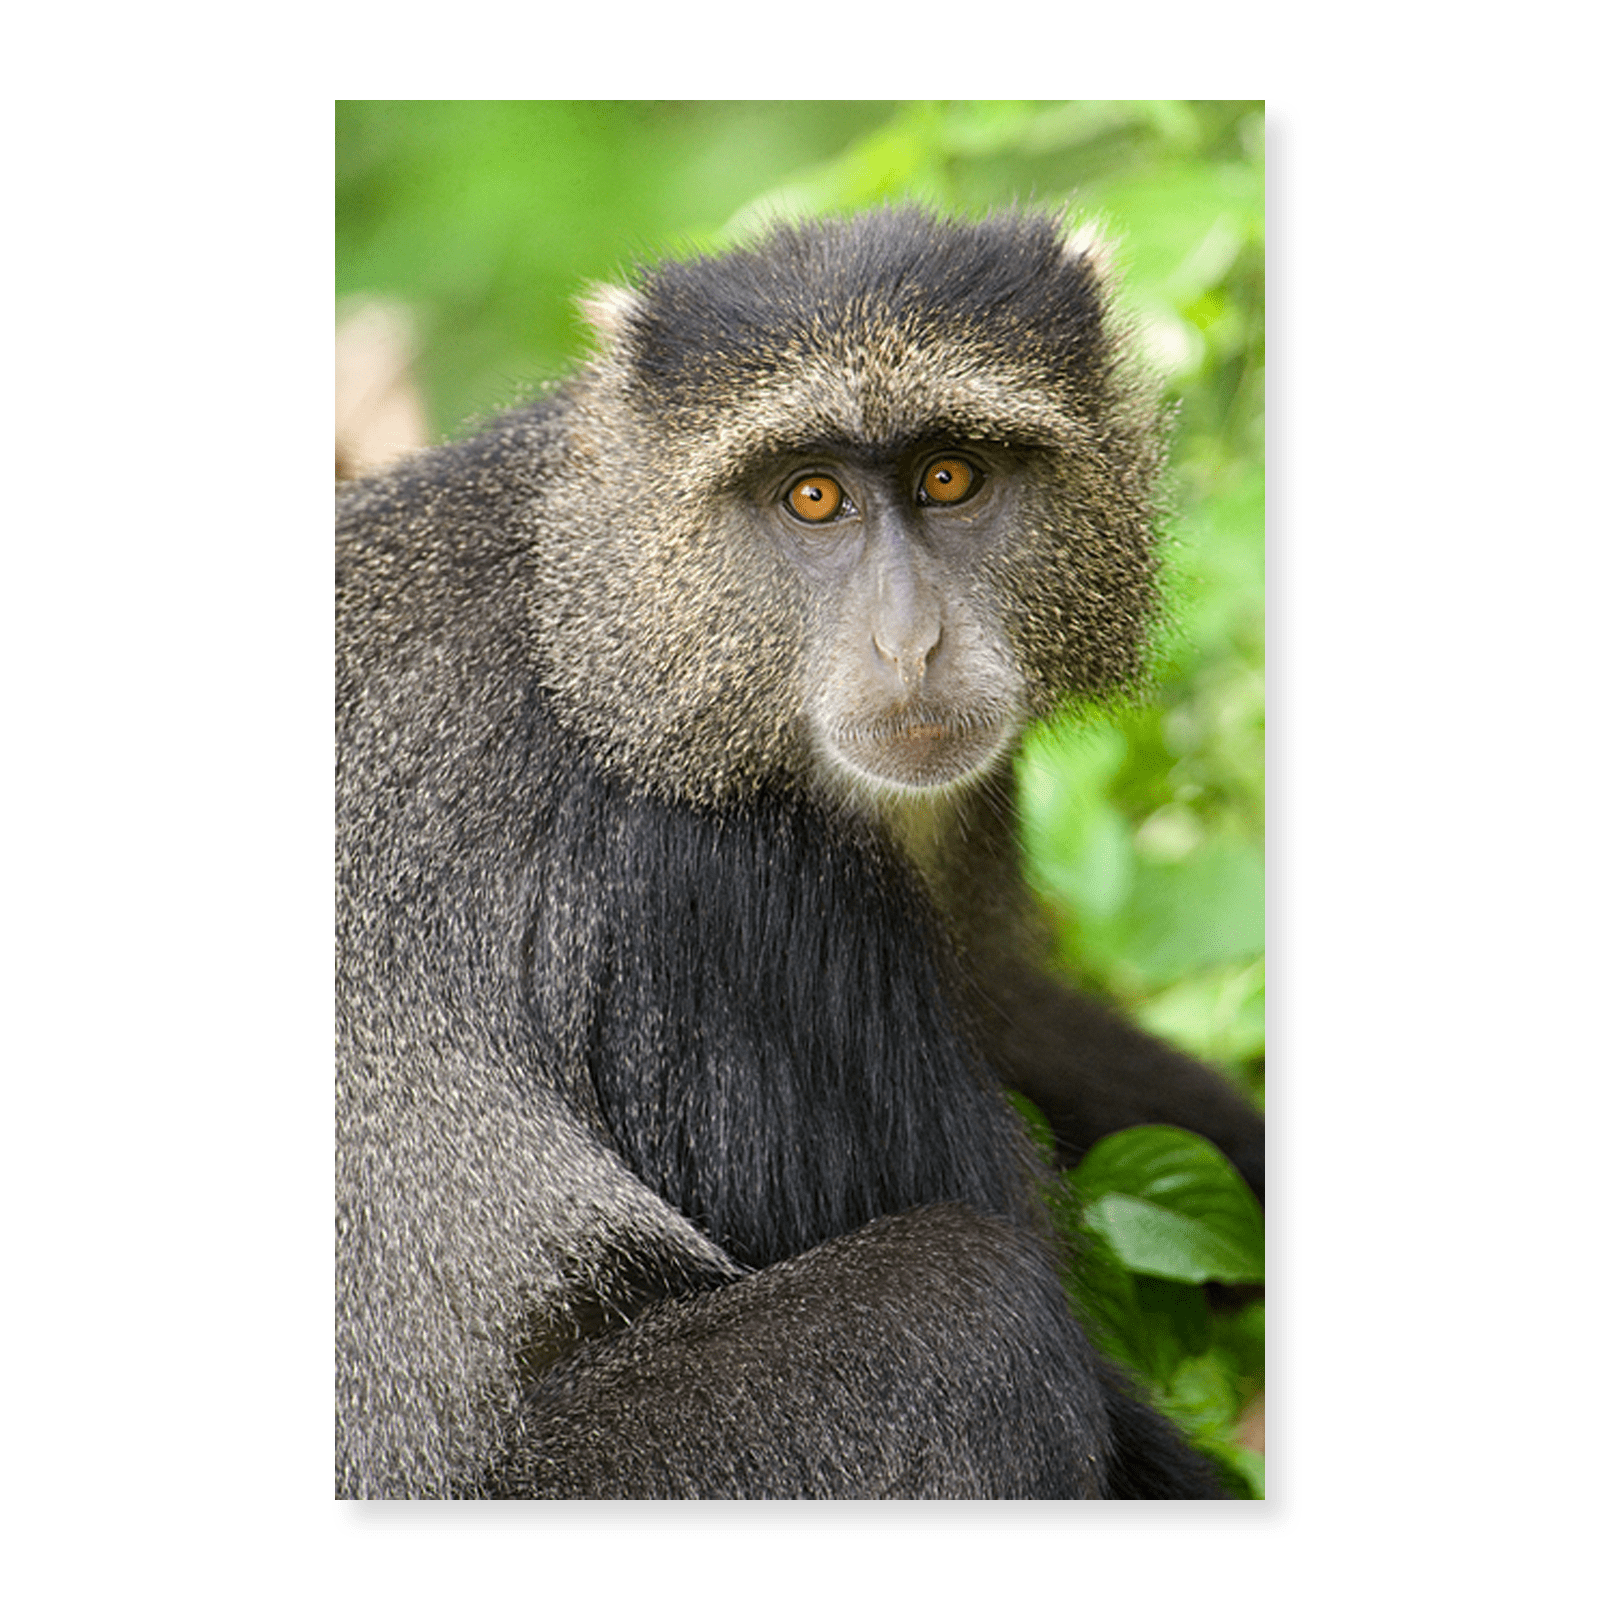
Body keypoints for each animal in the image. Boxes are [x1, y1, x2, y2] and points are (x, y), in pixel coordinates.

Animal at [335, 206, 1265, 1504]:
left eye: (948, 477)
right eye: (813, 498)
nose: (910, 642)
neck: (608, 620)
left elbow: (1009, 1003)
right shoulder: (704, 896)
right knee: (970, 1312)